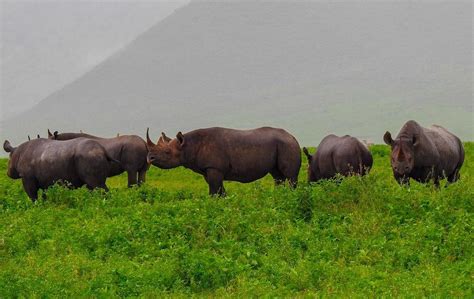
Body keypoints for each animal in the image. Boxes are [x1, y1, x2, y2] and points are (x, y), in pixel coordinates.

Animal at [146, 126, 300, 197]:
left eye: (167, 152)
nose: (149, 158)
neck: (187, 145)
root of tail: (292, 136)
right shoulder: (208, 170)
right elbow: (219, 190)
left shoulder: (214, 168)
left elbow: (214, 191)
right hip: (281, 145)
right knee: (277, 176)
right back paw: (279, 196)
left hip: (288, 145)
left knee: (290, 177)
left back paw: (291, 197)